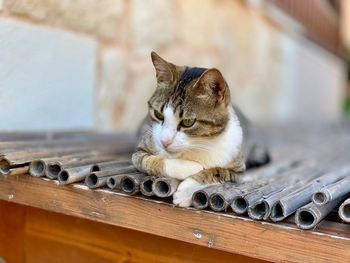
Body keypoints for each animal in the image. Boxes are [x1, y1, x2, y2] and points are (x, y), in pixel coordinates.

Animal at [131, 52, 268, 208]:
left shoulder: (237, 170)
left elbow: (217, 172)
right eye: (158, 114)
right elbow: (149, 161)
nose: (164, 141)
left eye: (188, 122)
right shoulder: (139, 151)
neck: (198, 145)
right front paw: (189, 167)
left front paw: (186, 191)